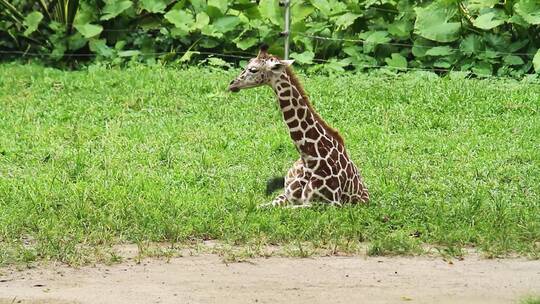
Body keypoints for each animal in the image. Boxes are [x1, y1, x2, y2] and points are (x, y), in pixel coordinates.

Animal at [228, 44, 372, 207]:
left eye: (253, 69)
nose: (232, 84)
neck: (309, 159)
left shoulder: (326, 204)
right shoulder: (286, 196)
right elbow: (258, 207)